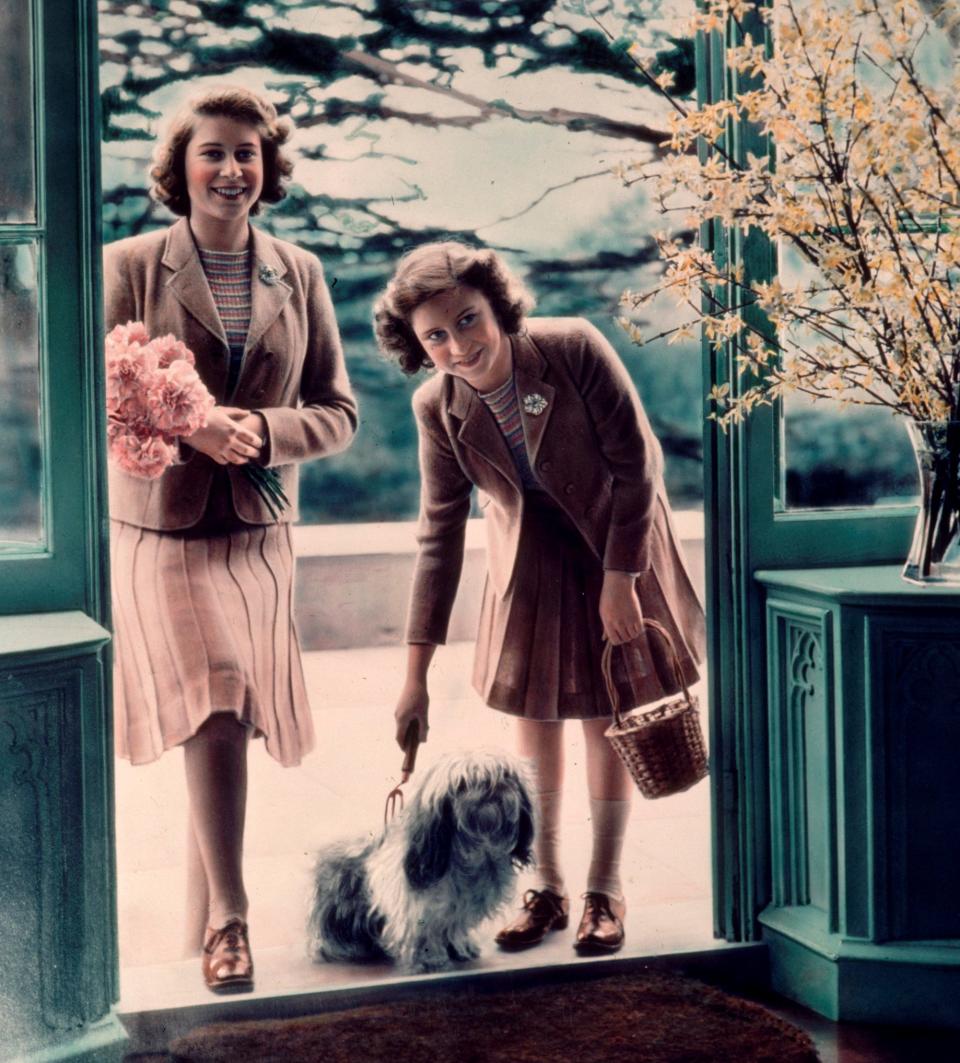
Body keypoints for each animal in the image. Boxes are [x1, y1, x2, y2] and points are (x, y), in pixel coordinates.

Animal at [308, 748, 533, 973]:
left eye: (504, 776)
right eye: (463, 783)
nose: (489, 786)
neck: (468, 853)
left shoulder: (458, 909)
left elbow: (454, 928)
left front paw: (460, 947)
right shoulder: (417, 908)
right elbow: (424, 933)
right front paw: (430, 958)